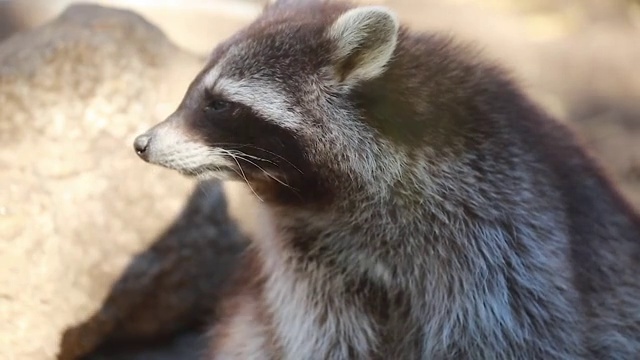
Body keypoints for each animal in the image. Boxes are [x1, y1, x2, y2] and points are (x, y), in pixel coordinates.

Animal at [132, 1, 640, 358]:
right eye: (195, 90)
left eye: (219, 104)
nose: (142, 143)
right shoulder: (308, 253)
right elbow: (323, 334)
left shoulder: (499, 229)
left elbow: (505, 331)